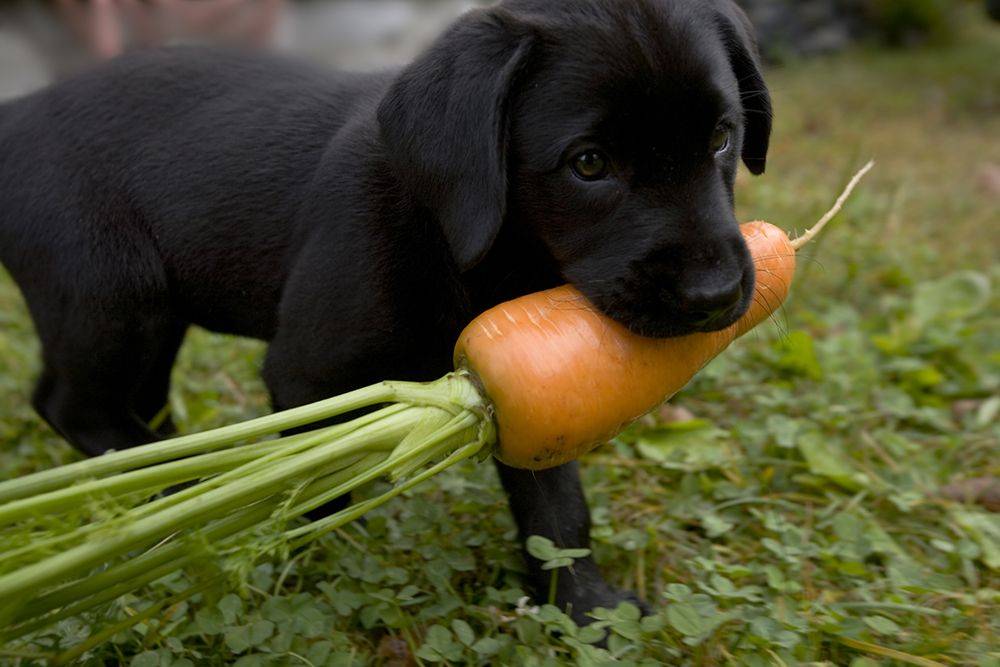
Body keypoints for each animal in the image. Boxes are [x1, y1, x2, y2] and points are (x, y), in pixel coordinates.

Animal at [0, 0, 772, 624]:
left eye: (722, 138)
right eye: (588, 164)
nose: (714, 294)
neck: (467, 240)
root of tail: (19, 113)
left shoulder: (522, 385)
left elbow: (556, 505)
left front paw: (583, 605)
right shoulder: (306, 375)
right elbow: (317, 486)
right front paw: (295, 570)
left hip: (153, 311)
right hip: (110, 291)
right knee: (73, 405)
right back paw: (188, 492)